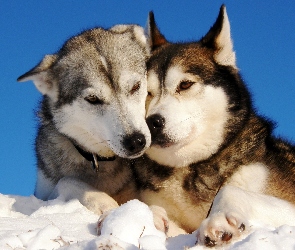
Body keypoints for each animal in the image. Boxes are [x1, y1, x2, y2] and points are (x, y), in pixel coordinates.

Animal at [17, 24, 151, 214]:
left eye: (135, 86)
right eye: (93, 99)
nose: (136, 141)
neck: (101, 161)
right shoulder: (45, 189)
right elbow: (66, 181)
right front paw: (103, 202)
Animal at [134, 5, 295, 246]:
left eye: (185, 84)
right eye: (146, 92)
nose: (151, 122)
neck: (192, 167)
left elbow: (229, 189)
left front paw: (218, 221)